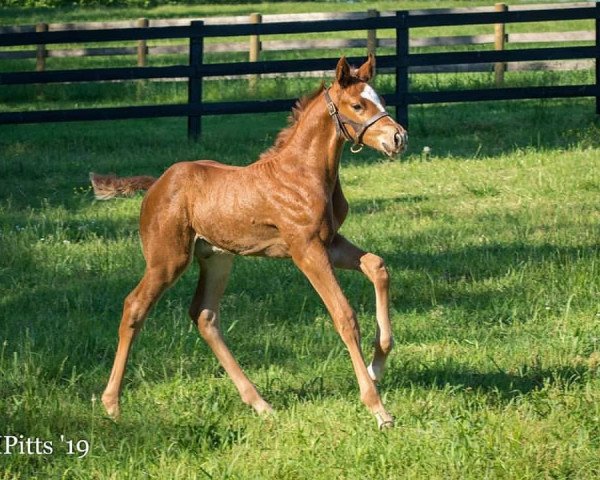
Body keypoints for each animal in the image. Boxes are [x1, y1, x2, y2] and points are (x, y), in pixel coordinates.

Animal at [95, 54, 408, 430]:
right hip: (167, 259)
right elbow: (344, 315)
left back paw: (260, 403)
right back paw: (112, 404)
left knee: (205, 315)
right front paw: (378, 408)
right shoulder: (306, 250)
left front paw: (379, 364)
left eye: (381, 99)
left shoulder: (329, 242)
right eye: (358, 105)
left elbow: (377, 265)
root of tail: (156, 184)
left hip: (217, 258)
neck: (304, 173)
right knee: (135, 306)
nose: (398, 137)